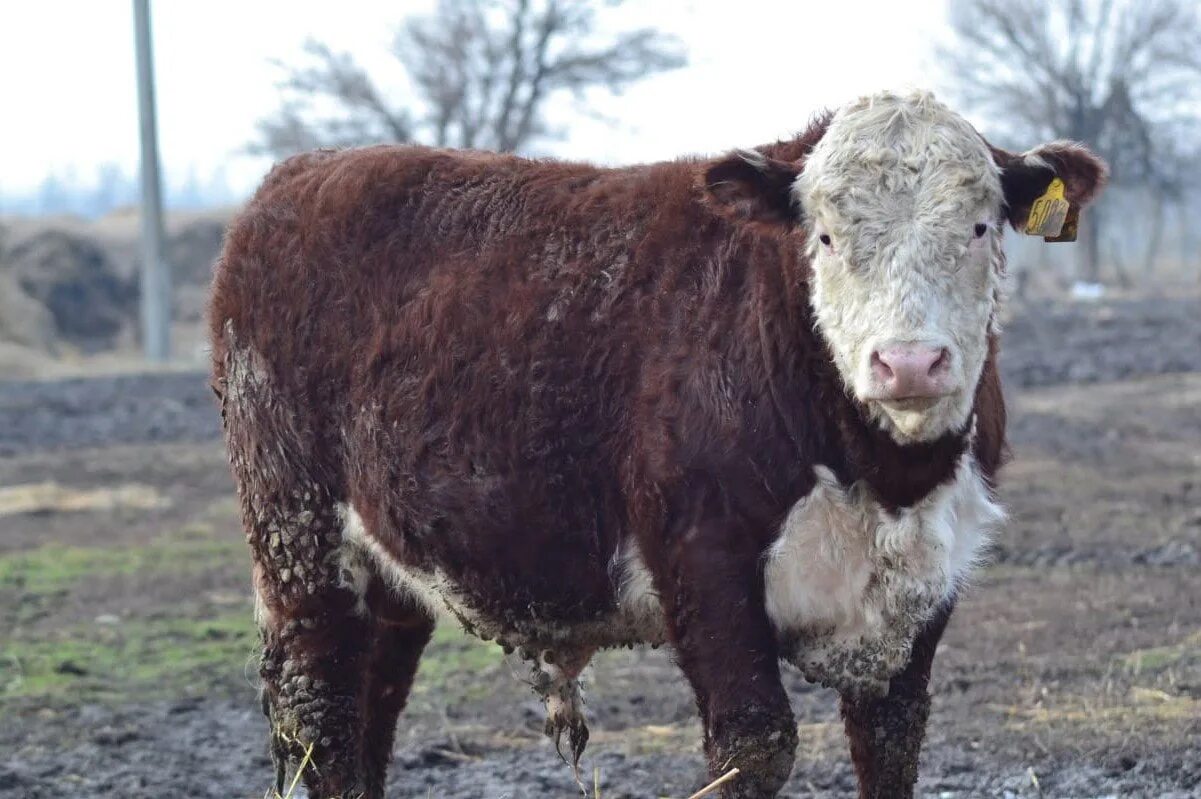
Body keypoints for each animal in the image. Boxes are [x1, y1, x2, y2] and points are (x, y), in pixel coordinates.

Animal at [208, 90, 1104, 792]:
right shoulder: (702, 557)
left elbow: (889, 745)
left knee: (372, 707)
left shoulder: (928, 581)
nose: (908, 361)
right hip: (297, 535)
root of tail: (300, 175)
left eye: (980, 226)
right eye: (823, 237)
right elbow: (753, 743)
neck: (884, 476)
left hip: (386, 573)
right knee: (320, 711)